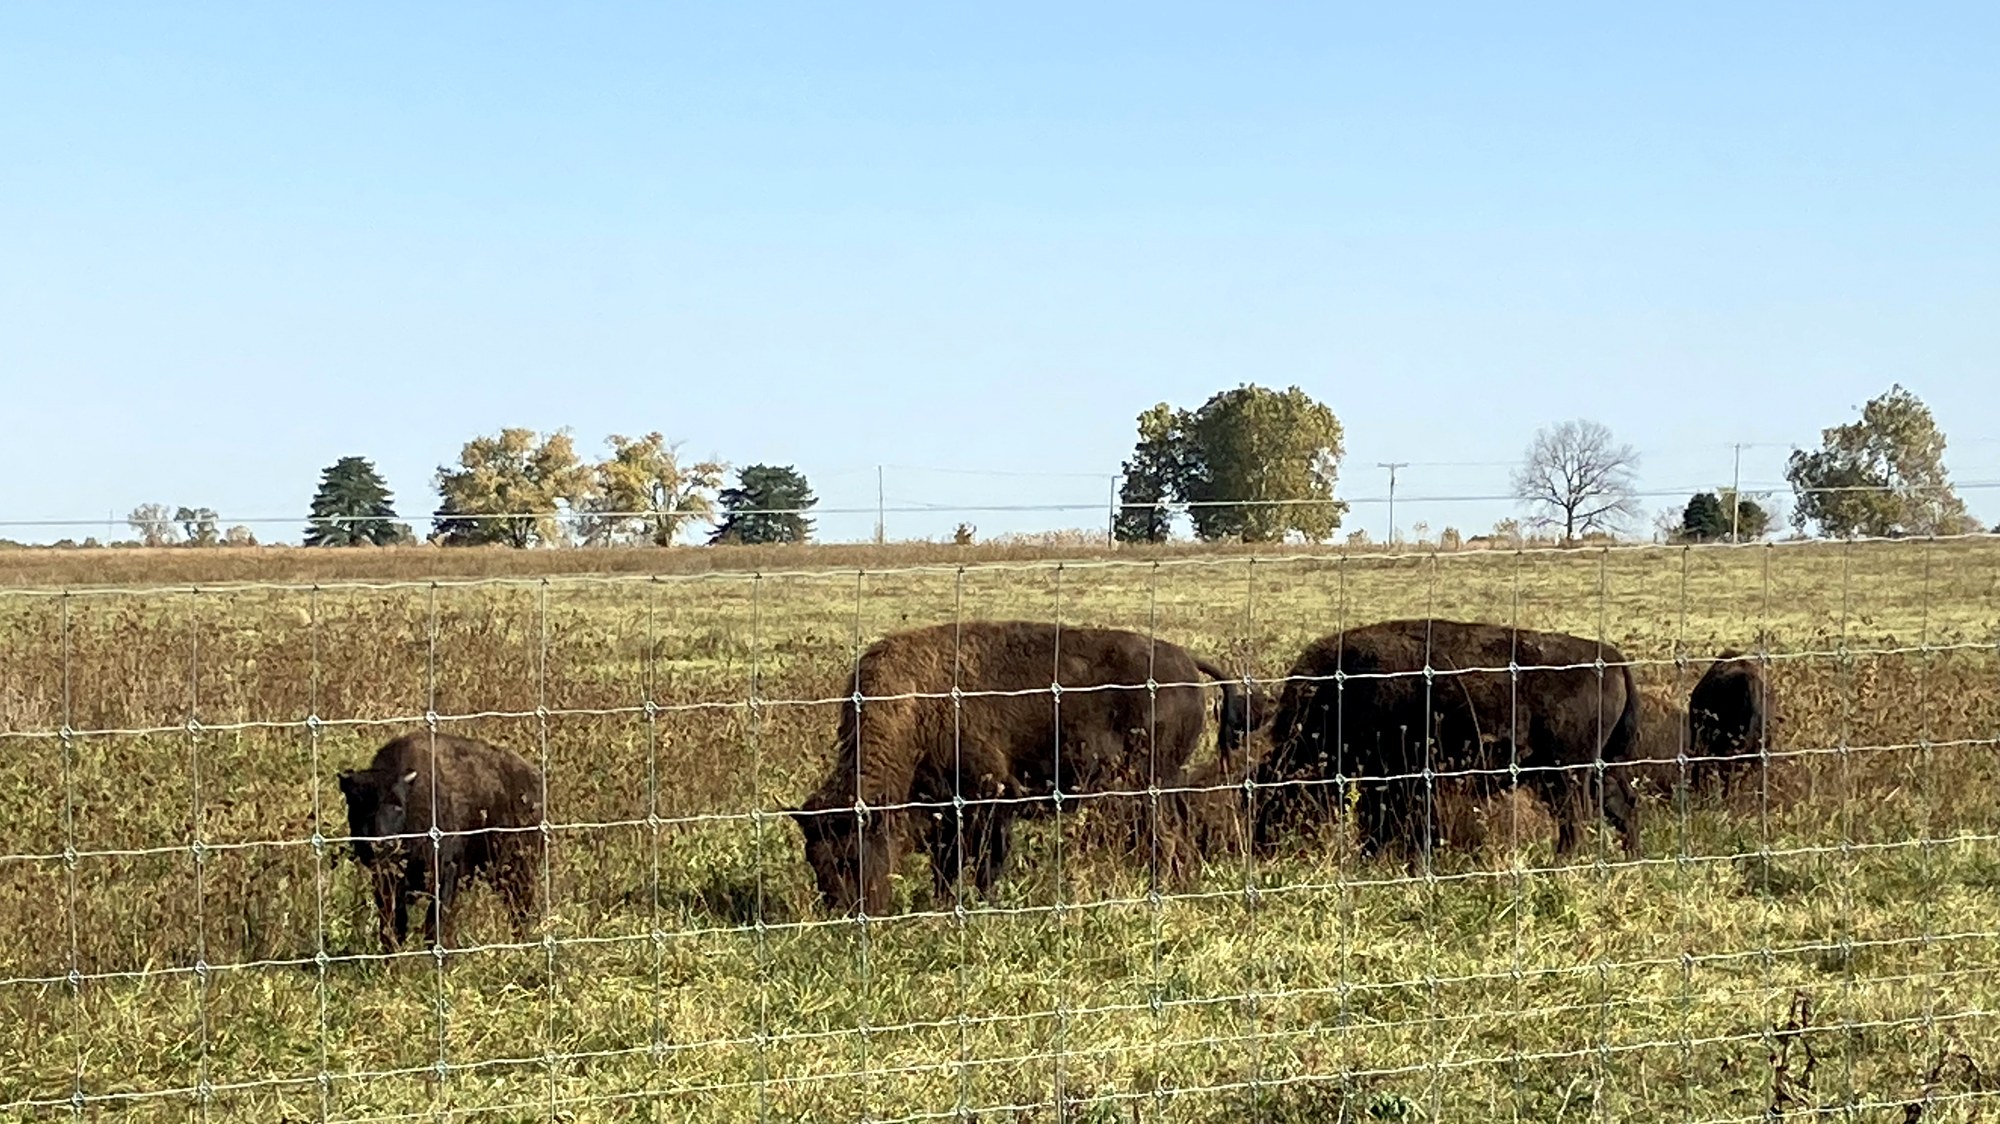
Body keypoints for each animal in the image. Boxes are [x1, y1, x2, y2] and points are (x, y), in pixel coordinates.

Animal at [338, 732, 546, 952]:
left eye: (397, 805)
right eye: (356, 803)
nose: (379, 843)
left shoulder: (445, 875)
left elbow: (434, 927)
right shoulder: (385, 883)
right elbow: (391, 929)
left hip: (516, 872)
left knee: (520, 910)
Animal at [790, 619, 1253, 915]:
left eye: (852, 855)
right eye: (815, 859)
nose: (845, 914)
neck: (914, 709)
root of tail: (1187, 663)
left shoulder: (989, 803)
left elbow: (983, 864)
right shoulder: (945, 811)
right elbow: (947, 866)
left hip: (1150, 781)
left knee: (1169, 834)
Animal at [1252, 619, 1643, 861]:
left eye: (1273, 796)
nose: (1260, 844)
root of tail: (1612, 659)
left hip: (1566, 772)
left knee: (1576, 819)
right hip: (1597, 769)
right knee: (1621, 807)